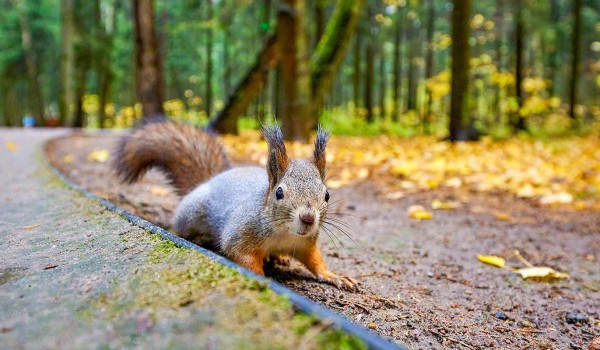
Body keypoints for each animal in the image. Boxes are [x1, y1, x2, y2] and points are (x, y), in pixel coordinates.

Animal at [113, 119, 356, 290]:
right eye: (279, 193)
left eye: (327, 195)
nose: (308, 218)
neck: (284, 233)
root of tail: (210, 180)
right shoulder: (240, 234)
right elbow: (242, 256)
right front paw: (262, 277)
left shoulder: (306, 244)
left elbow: (315, 261)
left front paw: (333, 276)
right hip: (191, 214)